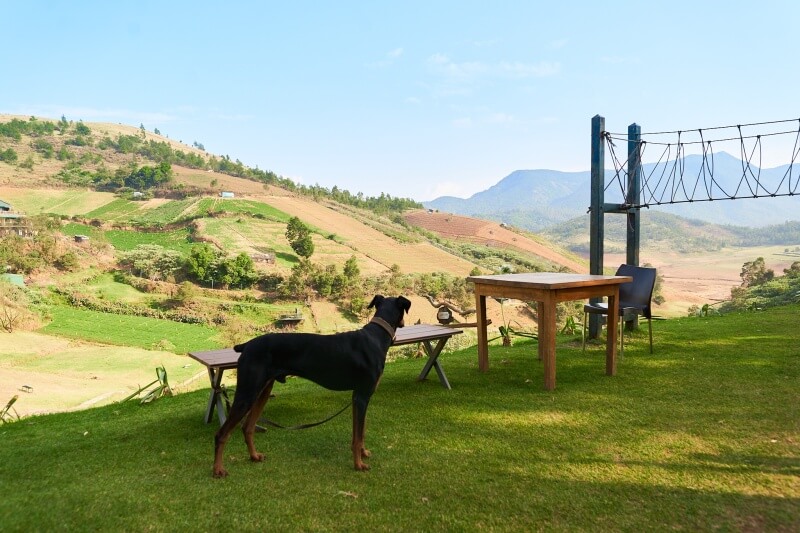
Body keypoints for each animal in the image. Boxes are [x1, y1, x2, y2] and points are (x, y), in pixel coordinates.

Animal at [212, 294, 410, 476]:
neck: (376, 337)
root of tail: (246, 345)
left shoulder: (359, 397)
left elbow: (359, 433)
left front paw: (363, 453)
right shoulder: (362, 396)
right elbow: (358, 435)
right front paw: (359, 464)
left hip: (263, 391)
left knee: (248, 427)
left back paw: (254, 456)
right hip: (248, 392)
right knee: (222, 434)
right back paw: (218, 469)